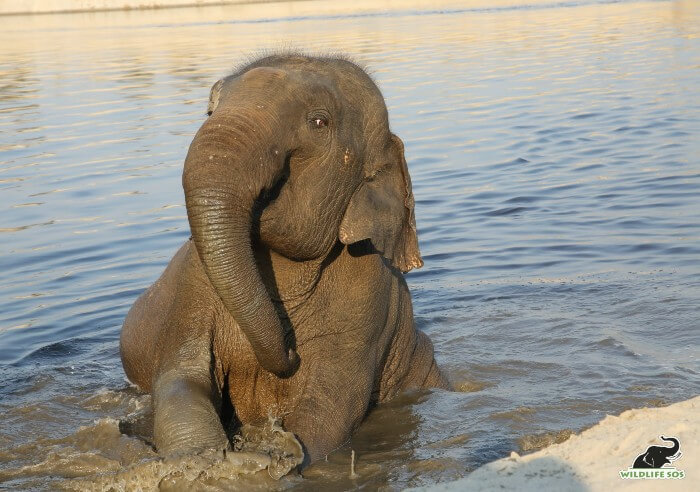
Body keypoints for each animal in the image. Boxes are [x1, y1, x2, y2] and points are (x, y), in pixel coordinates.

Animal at [119, 53, 448, 468]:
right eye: (209, 109)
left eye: (319, 123)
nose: (291, 353)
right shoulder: (192, 282)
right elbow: (182, 381)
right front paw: (205, 460)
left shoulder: (369, 297)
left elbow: (328, 408)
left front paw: (276, 455)